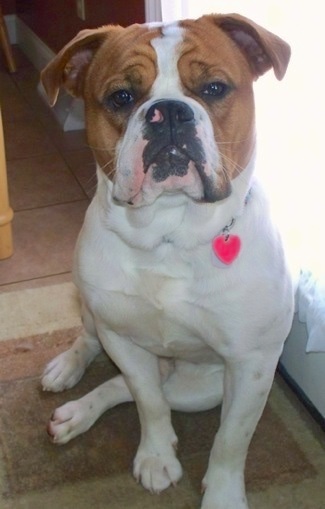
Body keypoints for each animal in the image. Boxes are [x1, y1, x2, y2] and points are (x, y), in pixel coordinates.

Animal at [39, 12, 292, 508]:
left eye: (213, 88)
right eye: (122, 96)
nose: (170, 112)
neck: (170, 236)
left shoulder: (251, 365)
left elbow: (231, 440)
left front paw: (223, 495)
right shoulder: (122, 339)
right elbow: (148, 402)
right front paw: (157, 457)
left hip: (202, 388)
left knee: (131, 386)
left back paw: (77, 413)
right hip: (96, 313)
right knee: (98, 348)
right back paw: (69, 379)